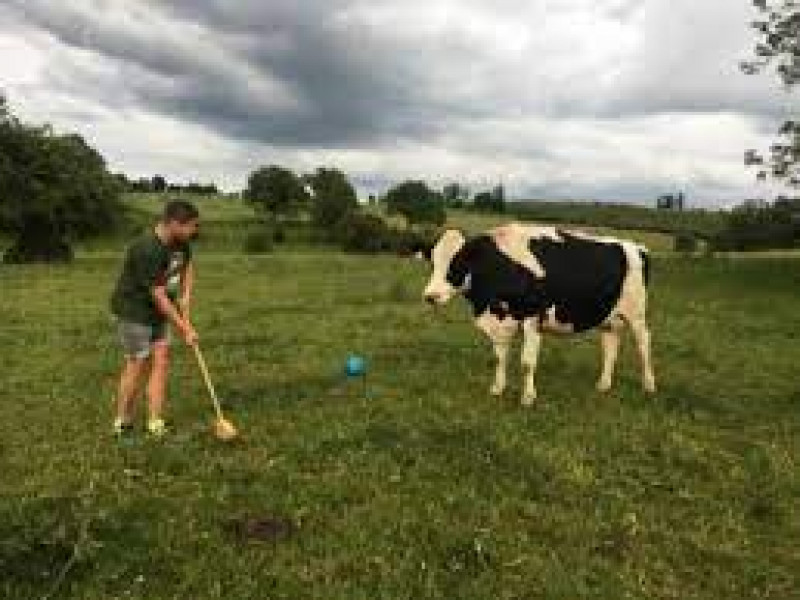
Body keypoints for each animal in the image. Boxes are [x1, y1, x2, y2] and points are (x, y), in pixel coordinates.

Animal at [418, 225, 656, 408]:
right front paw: (497, 388)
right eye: (433, 262)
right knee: (611, 346)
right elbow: (499, 357)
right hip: (609, 317)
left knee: (643, 344)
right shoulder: (500, 320)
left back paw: (649, 385)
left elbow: (527, 362)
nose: (430, 296)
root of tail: (636, 246)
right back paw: (604, 385)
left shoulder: (532, 319)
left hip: (636, 312)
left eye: (457, 263)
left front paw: (527, 397)